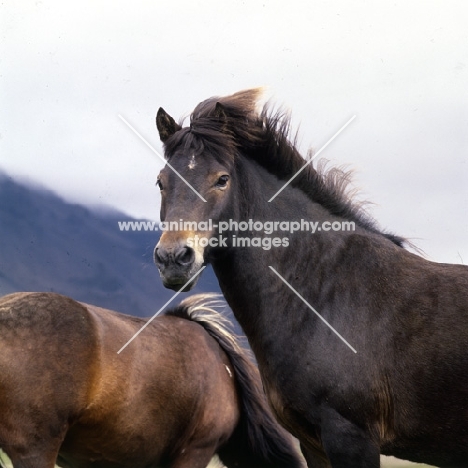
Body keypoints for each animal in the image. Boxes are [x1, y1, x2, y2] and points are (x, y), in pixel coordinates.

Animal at [154, 89, 468, 466]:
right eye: (161, 182)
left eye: (221, 179)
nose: (173, 259)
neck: (323, 295)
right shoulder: (313, 442)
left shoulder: (351, 437)